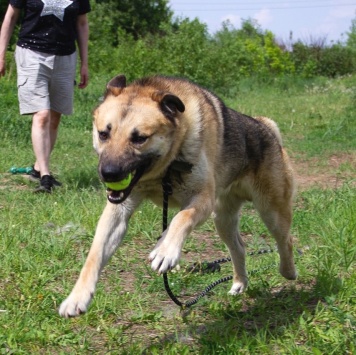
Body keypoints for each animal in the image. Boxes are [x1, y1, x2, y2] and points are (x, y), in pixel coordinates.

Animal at [59, 74, 298, 318]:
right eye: (103, 134)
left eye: (140, 138)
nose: (108, 174)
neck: (164, 169)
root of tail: (265, 126)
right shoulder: (118, 212)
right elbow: (94, 254)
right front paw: (77, 297)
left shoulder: (202, 199)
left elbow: (181, 218)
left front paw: (165, 250)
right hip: (222, 219)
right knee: (239, 248)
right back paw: (239, 283)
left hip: (271, 211)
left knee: (286, 241)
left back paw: (288, 271)